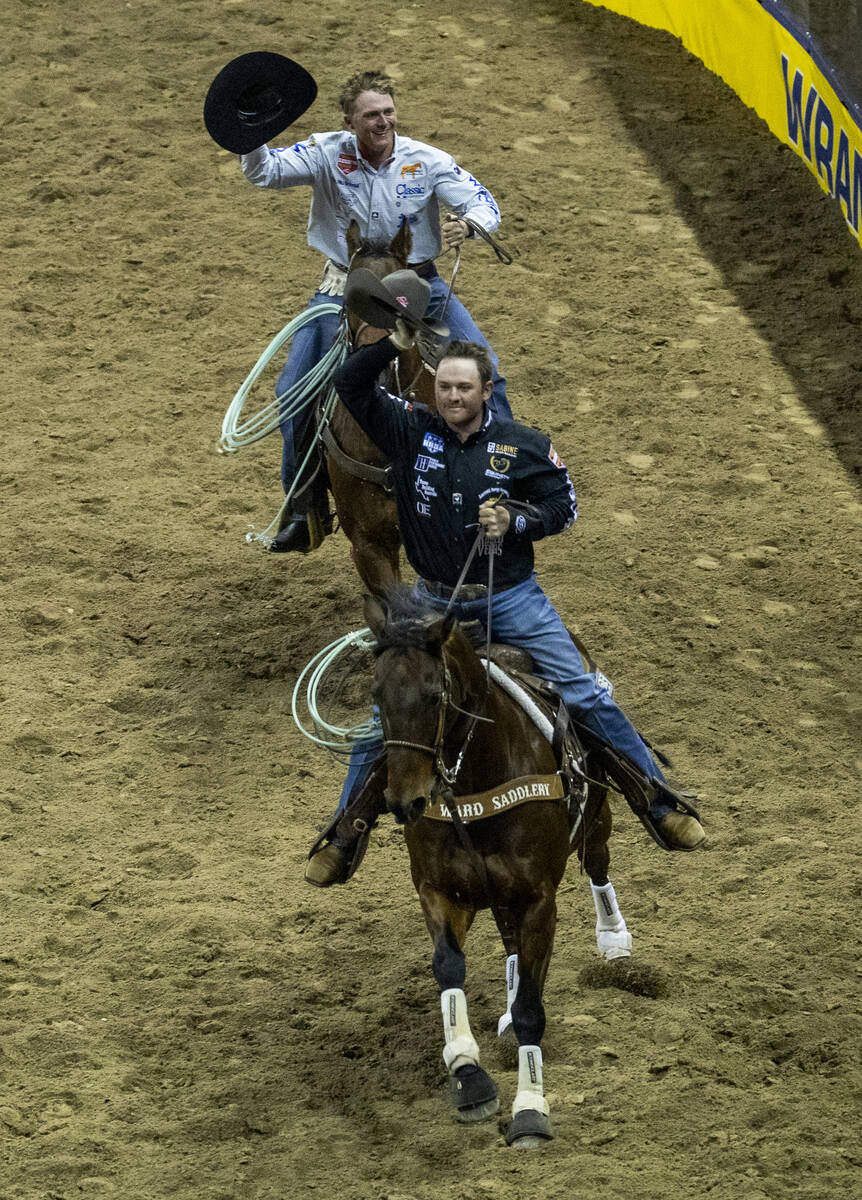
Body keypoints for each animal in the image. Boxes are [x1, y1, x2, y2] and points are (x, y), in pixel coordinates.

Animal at [364, 590, 633, 1152]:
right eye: (376, 694)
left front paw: (530, 1109)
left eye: (434, 695)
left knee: (597, 864)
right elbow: (449, 970)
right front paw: (468, 1075)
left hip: (596, 819)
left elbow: (534, 1007)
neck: (478, 783)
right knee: (510, 946)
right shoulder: (441, 891)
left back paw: (614, 937)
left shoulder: (538, 901)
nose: (403, 801)